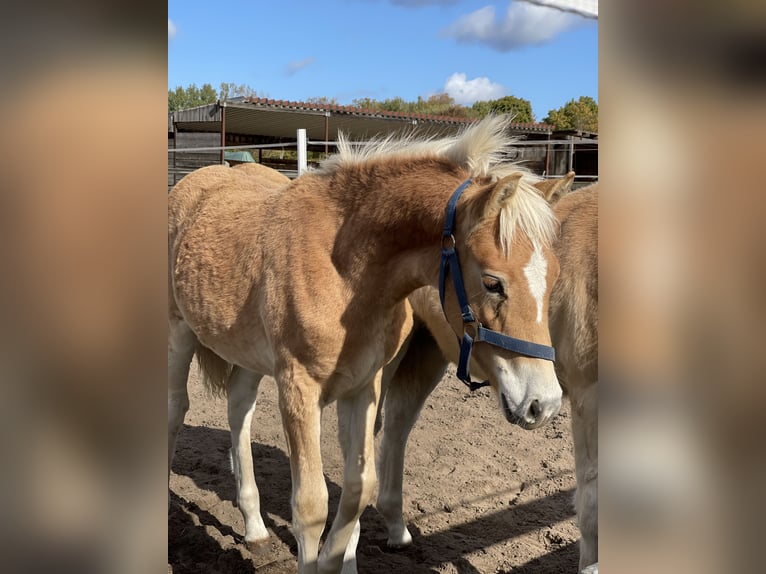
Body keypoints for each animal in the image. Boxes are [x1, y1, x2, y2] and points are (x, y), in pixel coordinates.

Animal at [168, 117, 564, 574]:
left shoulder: (363, 385)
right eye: (492, 282)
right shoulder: (298, 389)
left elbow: (360, 487)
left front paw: (334, 559)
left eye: (555, 277)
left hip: (248, 355)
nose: (544, 404)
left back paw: (254, 529)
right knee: (175, 410)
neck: (344, 271)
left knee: (238, 412)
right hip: (178, 331)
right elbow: (311, 505)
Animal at [378, 178, 600, 572]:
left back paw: (397, 531)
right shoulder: (588, 402)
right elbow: (591, 508)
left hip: (427, 353)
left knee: (396, 428)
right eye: (492, 285)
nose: (543, 404)